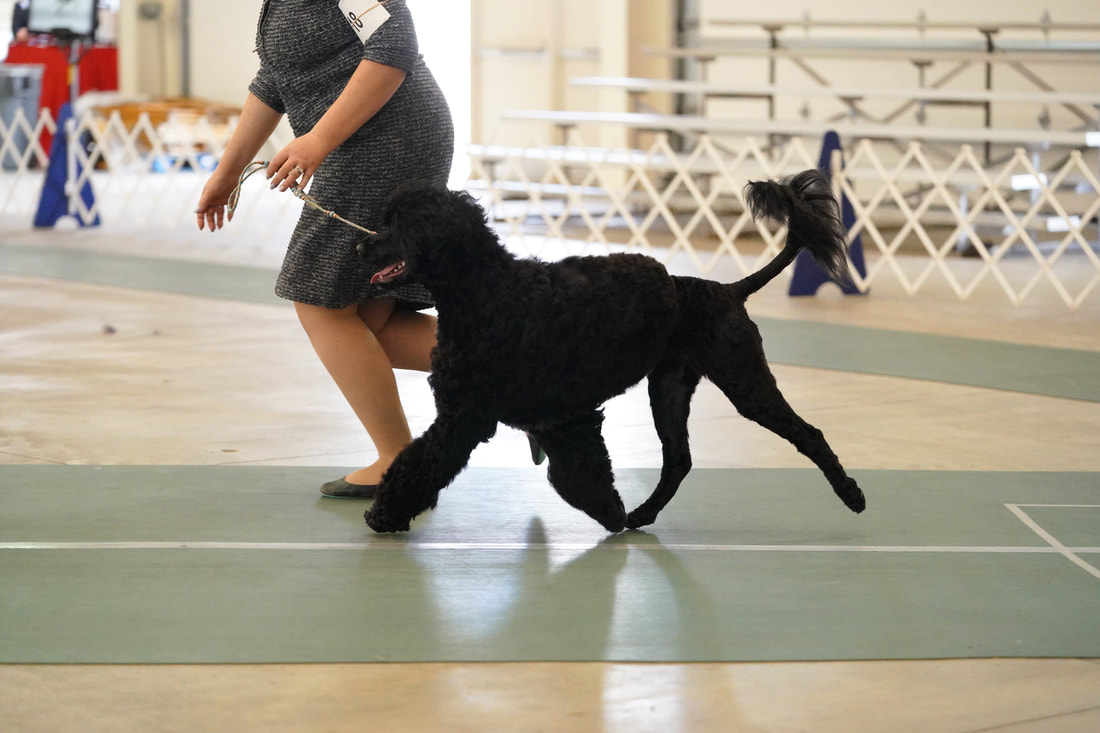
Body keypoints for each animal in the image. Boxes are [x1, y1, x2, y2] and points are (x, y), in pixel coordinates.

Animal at [357, 169, 866, 533]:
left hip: (745, 382)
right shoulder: (559, 418)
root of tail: (726, 290)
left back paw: (851, 494)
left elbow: (421, 463)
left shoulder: (468, 417)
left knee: (810, 435)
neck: (486, 290)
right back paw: (641, 515)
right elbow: (581, 473)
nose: (361, 245)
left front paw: (385, 514)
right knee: (678, 462)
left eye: (399, 225)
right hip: (670, 390)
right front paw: (612, 512)